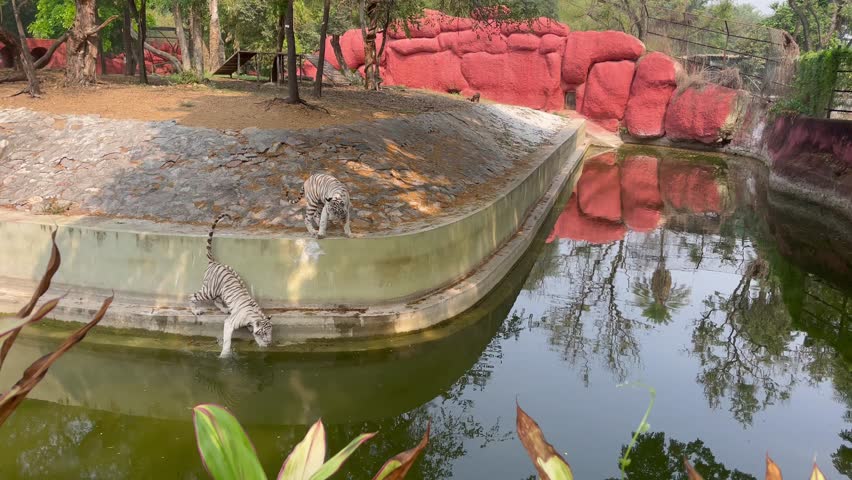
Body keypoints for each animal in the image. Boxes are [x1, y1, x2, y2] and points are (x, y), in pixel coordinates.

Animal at [190, 214, 273, 357]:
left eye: (270, 331)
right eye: (265, 332)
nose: (270, 341)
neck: (255, 317)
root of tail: (214, 262)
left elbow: (254, 334)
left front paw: (262, 345)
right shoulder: (230, 323)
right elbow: (227, 340)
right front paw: (224, 355)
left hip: (219, 291)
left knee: (216, 300)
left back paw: (224, 309)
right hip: (209, 290)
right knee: (192, 296)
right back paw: (196, 311)